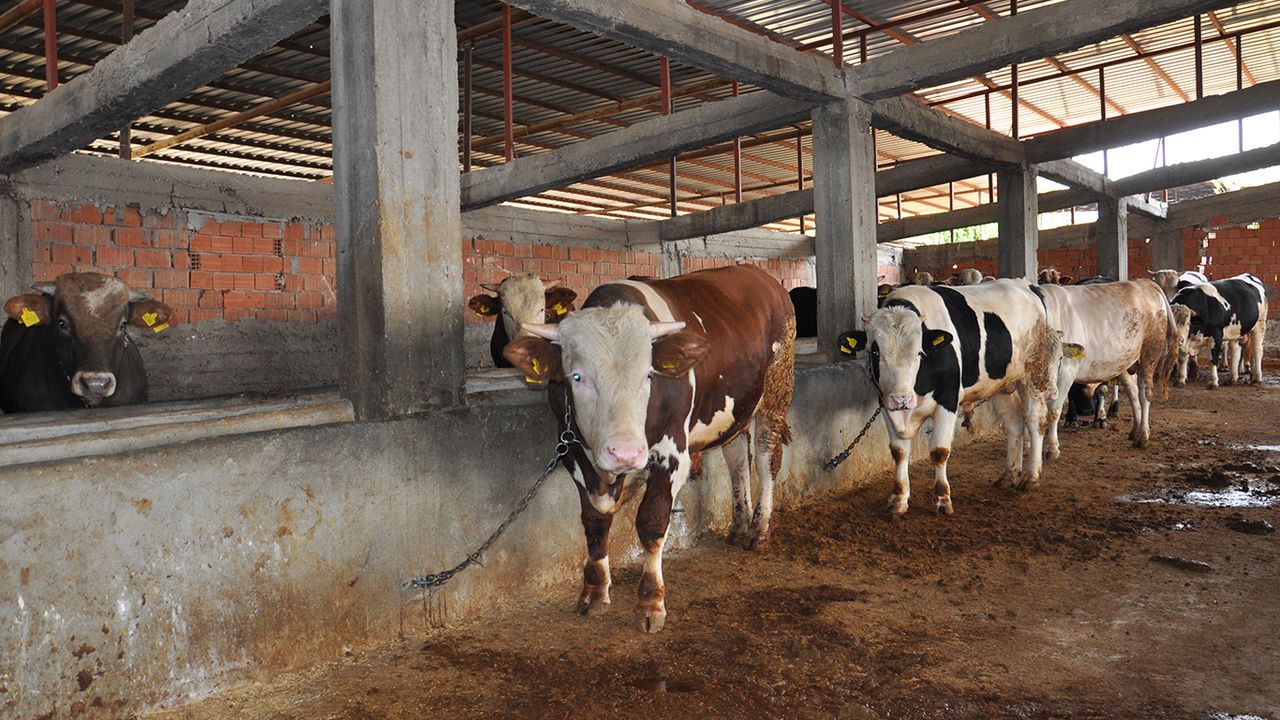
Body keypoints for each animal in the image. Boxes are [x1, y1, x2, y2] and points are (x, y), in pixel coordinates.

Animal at [503, 265, 794, 633]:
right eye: (577, 376)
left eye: (648, 375)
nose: (625, 453)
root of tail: (760, 275)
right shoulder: (571, 448)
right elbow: (595, 517)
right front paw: (594, 591)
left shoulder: (672, 453)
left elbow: (652, 521)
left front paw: (651, 602)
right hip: (736, 409)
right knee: (738, 459)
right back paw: (739, 525)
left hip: (776, 392)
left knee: (767, 457)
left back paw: (759, 530)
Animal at [838, 279, 1058, 515]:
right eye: (875, 352)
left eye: (919, 352)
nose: (901, 399)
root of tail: (1025, 284)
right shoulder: (887, 406)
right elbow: (899, 452)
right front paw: (899, 499)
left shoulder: (948, 401)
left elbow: (939, 451)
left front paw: (943, 498)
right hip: (1001, 384)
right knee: (1014, 422)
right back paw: (1009, 475)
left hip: (1034, 374)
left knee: (1036, 420)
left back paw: (1031, 477)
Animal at [1039, 279, 1177, 455]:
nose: (1086, 411)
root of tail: (1146, 283)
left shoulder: (1065, 370)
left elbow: (1053, 409)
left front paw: (1051, 447)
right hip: (1124, 361)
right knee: (1133, 392)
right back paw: (1135, 430)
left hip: (1149, 354)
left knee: (1145, 393)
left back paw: (1142, 436)